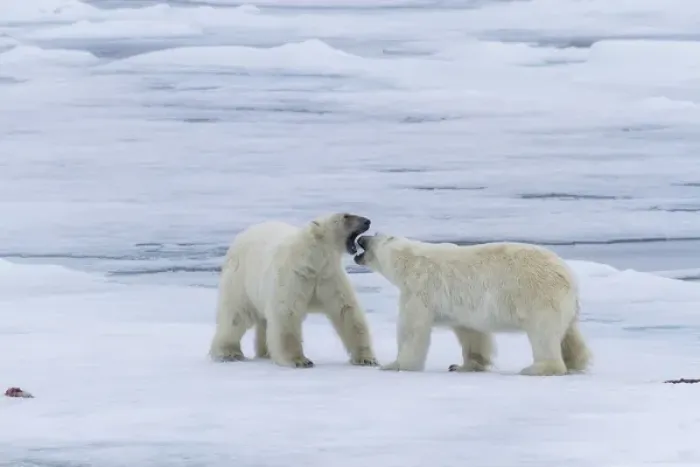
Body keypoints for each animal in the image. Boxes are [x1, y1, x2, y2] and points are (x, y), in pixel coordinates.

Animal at [209, 213, 378, 369]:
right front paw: (300, 361)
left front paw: (367, 358)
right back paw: (228, 353)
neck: (313, 260)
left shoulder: (328, 276)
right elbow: (286, 313)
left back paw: (266, 352)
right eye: (345, 216)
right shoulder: (294, 276)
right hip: (240, 278)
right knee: (236, 314)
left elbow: (346, 311)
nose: (367, 221)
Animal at [354, 234, 591, 376]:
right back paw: (576, 361)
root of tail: (568, 274)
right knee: (570, 333)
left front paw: (395, 364)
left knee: (543, 334)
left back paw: (537, 368)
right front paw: (463, 365)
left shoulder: (419, 290)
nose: (361, 237)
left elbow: (412, 330)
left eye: (371, 237)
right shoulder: (461, 306)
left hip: (539, 296)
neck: (408, 259)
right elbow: (471, 333)